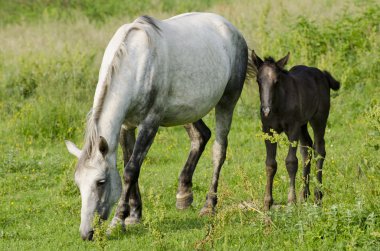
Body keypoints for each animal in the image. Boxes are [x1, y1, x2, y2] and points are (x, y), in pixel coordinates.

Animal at [65, 12, 249, 240]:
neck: (136, 62)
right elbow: (129, 165)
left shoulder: (150, 123)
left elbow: (130, 170)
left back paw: (209, 205)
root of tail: (231, 28)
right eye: (78, 183)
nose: (86, 233)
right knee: (201, 135)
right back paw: (184, 195)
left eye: (101, 182)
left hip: (227, 101)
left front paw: (118, 221)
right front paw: (134, 216)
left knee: (219, 150)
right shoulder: (126, 125)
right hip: (187, 111)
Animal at [251, 51, 340, 210]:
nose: (266, 110)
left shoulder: (292, 128)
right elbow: (270, 164)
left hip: (319, 118)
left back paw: (317, 196)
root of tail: (323, 75)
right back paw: (304, 195)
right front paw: (267, 203)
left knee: (319, 149)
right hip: (302, 124)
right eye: (258, 81)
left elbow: (291, 161)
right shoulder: (268, 130)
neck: (278, 105)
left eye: (276, 81)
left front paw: (290, 201)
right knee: (307, 148)